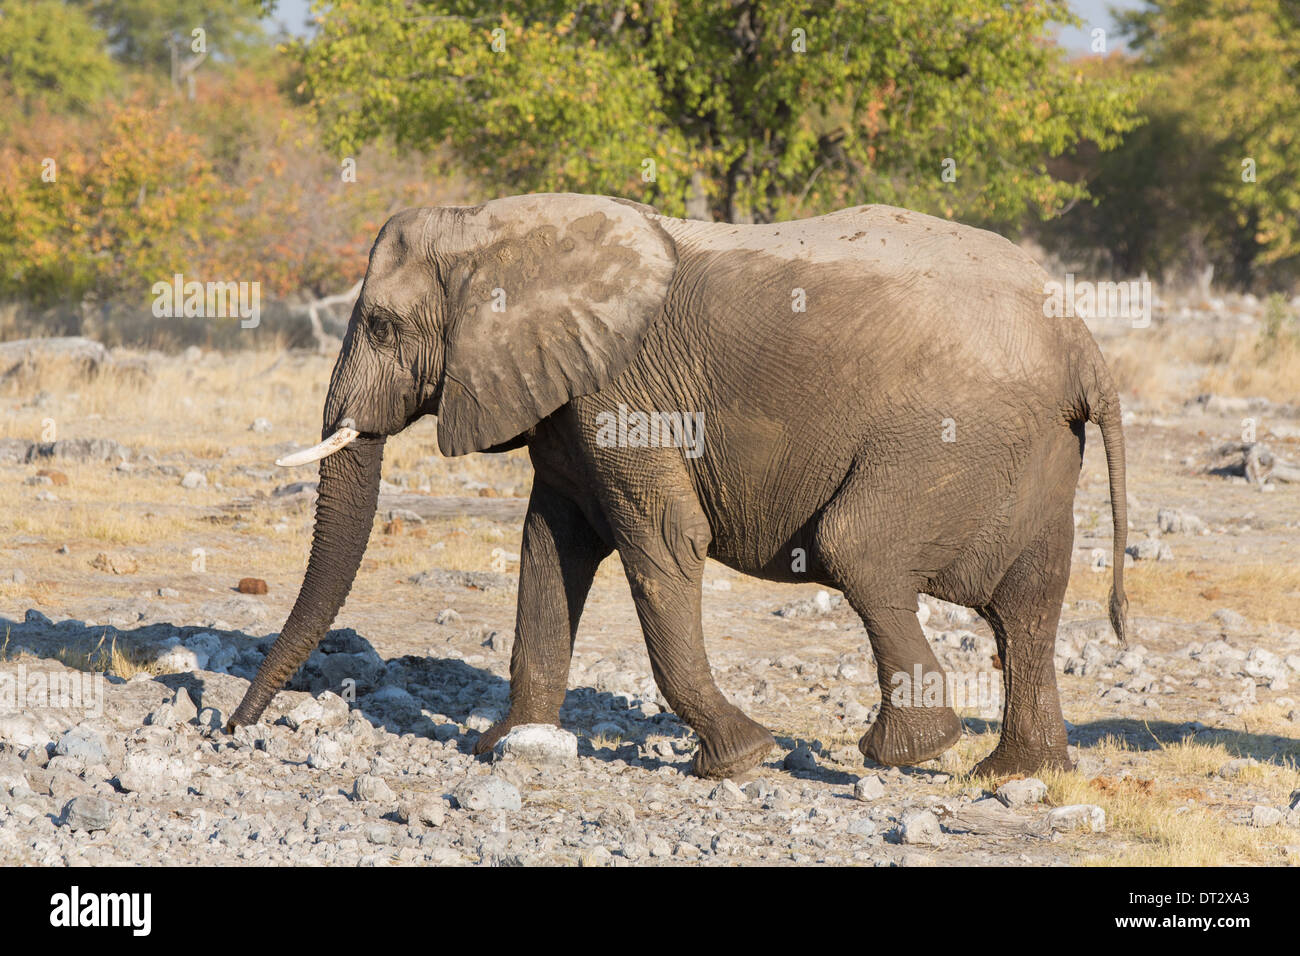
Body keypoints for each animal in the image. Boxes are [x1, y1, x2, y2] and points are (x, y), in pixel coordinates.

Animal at [231, 191, 1128, 780]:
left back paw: (905, 752)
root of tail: (1079, 340)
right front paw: (501, 749)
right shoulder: (568, 399)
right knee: (1029, 604)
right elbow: (550, 548)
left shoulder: (620, 392)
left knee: (859, 551)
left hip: (950, 436)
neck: (494, 228)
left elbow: (663, 540)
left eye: (382, 327)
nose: (233, 730)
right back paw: (1015, 774)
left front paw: (743, 759)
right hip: (1034, 452)